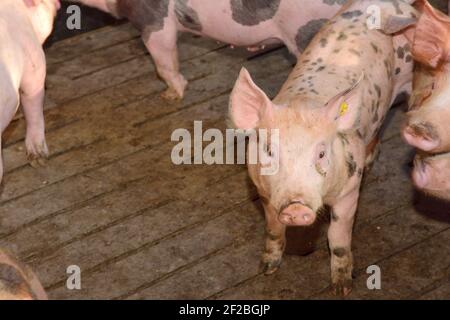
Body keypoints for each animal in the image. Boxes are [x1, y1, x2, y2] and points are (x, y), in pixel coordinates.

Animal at [230, 0, 416, 296]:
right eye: (270, 151)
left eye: (321, 154)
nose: (296, 207)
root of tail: (391, 7)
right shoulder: (263, 191)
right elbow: (273, 229)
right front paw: (267, 269)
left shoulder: (349, 189)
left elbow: (338, 237)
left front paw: (342, 288)